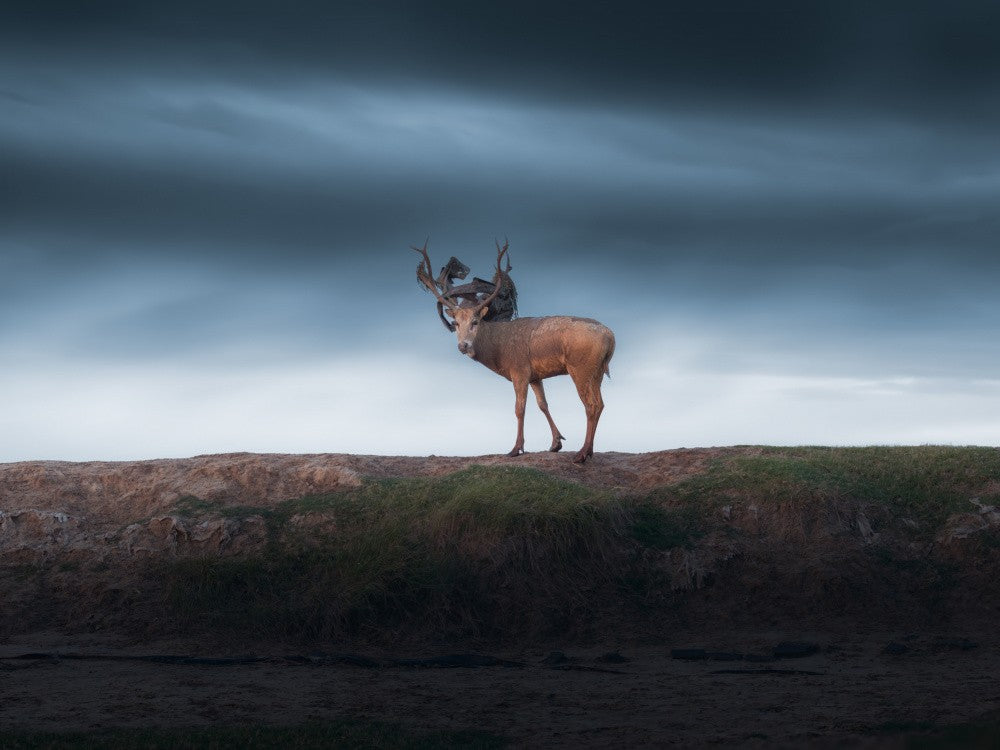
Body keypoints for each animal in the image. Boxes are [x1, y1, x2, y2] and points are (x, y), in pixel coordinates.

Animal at [414, 240, 615, 464]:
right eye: (455, 323)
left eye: (475, 321)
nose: (463, 346)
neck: (499, 350)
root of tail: (610, 337)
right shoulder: (535, 375)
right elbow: (543, 404)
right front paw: (556, 443)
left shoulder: (519, 370)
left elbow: (520, 409)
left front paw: (516, 448)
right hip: (598, 371)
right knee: (601, 404)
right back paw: (589, 450)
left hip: (581, 368)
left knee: (591, 405)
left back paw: (582, 453)